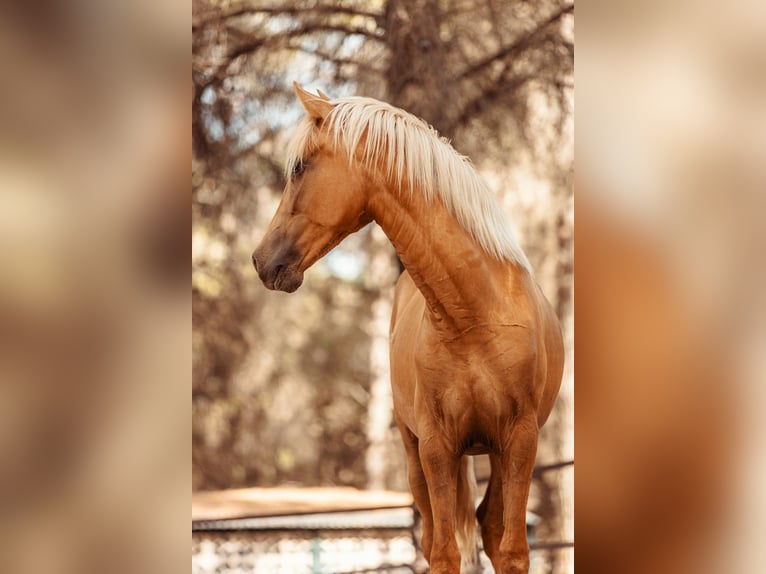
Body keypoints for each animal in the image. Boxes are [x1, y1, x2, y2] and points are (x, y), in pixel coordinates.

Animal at [252, 83, 564, 572]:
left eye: (300, 168)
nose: (262, 260)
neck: (473, 317)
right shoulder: (436, 446)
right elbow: (443, 553)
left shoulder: (520, 441)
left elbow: (512, 550)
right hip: (415, 452)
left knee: (491, 527)